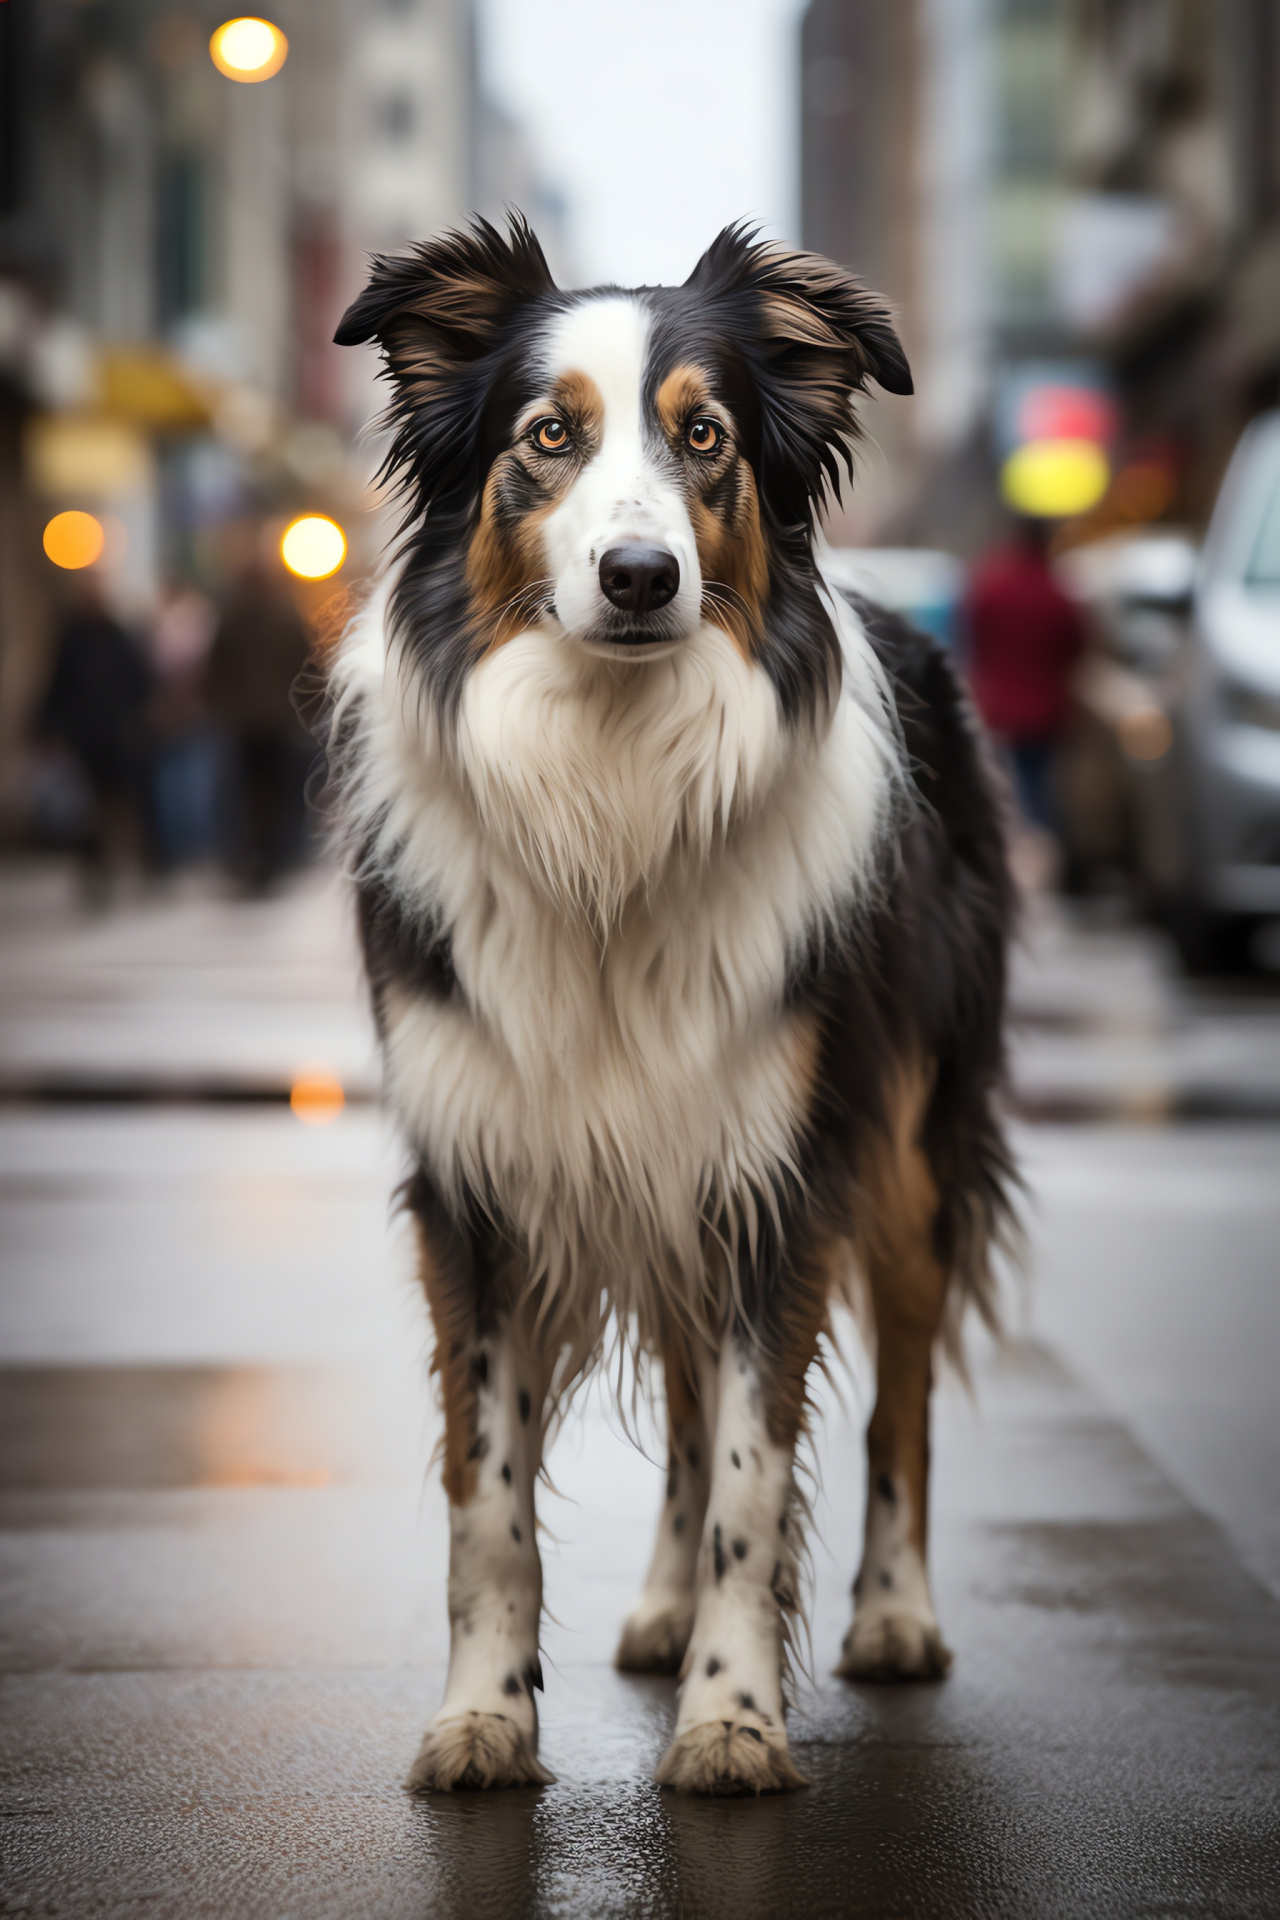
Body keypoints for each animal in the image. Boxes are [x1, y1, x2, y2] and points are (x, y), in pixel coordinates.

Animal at [326, 220, 1013, 1797]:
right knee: (694, 1409)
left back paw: (892, 1617)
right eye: (548, 437)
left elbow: (761, 1485)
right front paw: (482, 1717)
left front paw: (733, 1721)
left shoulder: (783, 1168)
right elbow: (489, 1495)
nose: (642, 577)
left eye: (705, 438)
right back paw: (656, 1607)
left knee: (897, 1408)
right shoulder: (481, 1176)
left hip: (902, 1154)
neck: (612, 779)